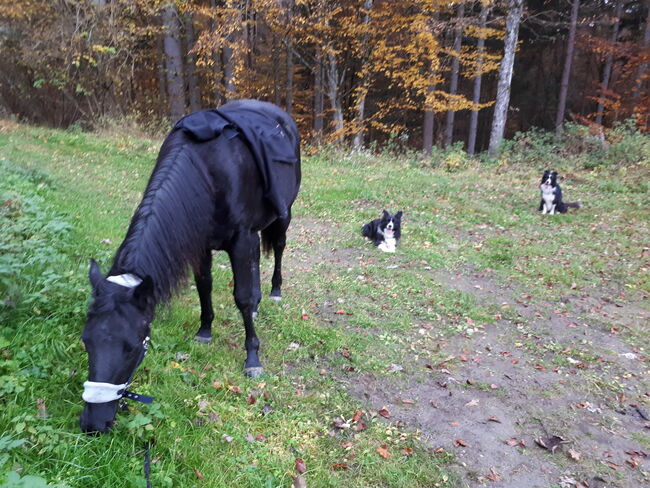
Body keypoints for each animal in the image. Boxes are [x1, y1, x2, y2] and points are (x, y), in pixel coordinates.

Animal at [78, 100, 298, 434]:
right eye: (86, 341)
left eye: (132, 347)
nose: (93, 424)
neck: (211, 172)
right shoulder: (201, 243)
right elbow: (205, 285)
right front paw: (205, 330)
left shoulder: (242, 239)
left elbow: (243, 298)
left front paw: (252, 358)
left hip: (283, 216)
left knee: (280, 249)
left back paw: (275, 291)